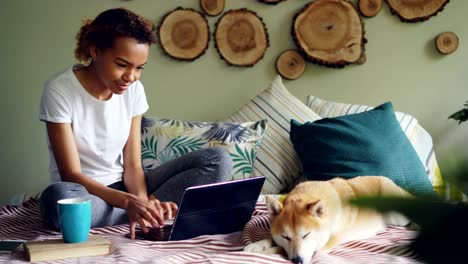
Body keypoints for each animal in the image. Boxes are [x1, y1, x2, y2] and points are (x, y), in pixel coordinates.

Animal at [243, 175, 412, 264]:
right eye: (286, 236)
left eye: (306, 235)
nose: (297, 260)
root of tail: (388, 180)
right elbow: (273, 238)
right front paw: (257, 245)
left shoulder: (325, 243)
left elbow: (280, 249)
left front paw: (268, 252)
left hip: (397, 216)